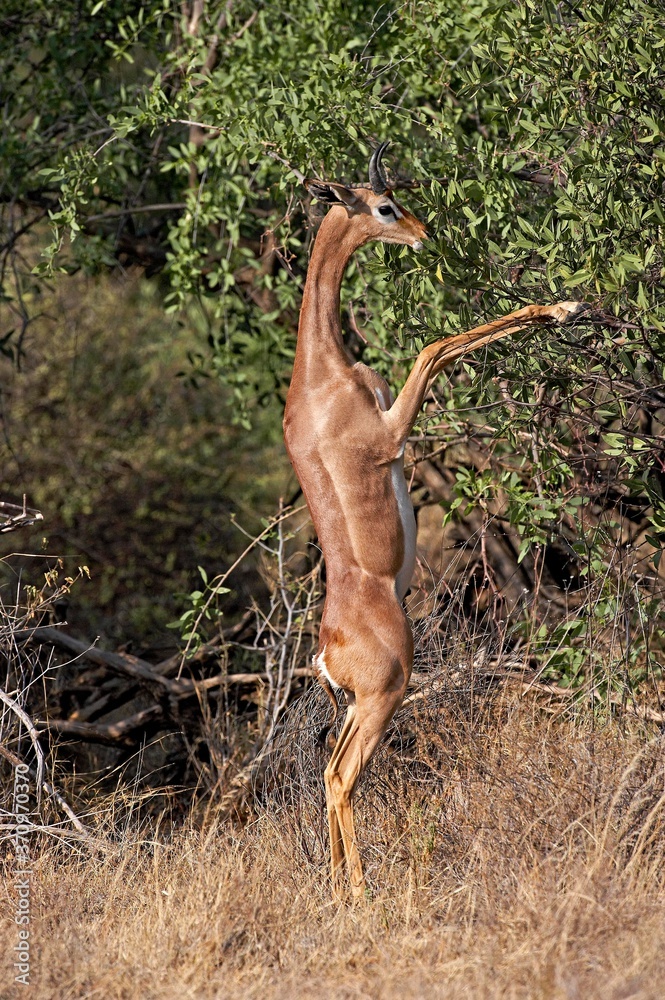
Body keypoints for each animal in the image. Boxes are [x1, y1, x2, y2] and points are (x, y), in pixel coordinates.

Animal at [282, 145, 584, 904]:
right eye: (383, 206)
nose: (421, 233)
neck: (321, 375)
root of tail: (324, 652)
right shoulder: (392, 433)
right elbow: (436, 346)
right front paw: (561, 305)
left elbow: (437, 346)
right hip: (384, 697)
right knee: (340, 777)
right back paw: (362, 897)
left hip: (356, 707)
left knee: (326, 772)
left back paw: (338, 890)